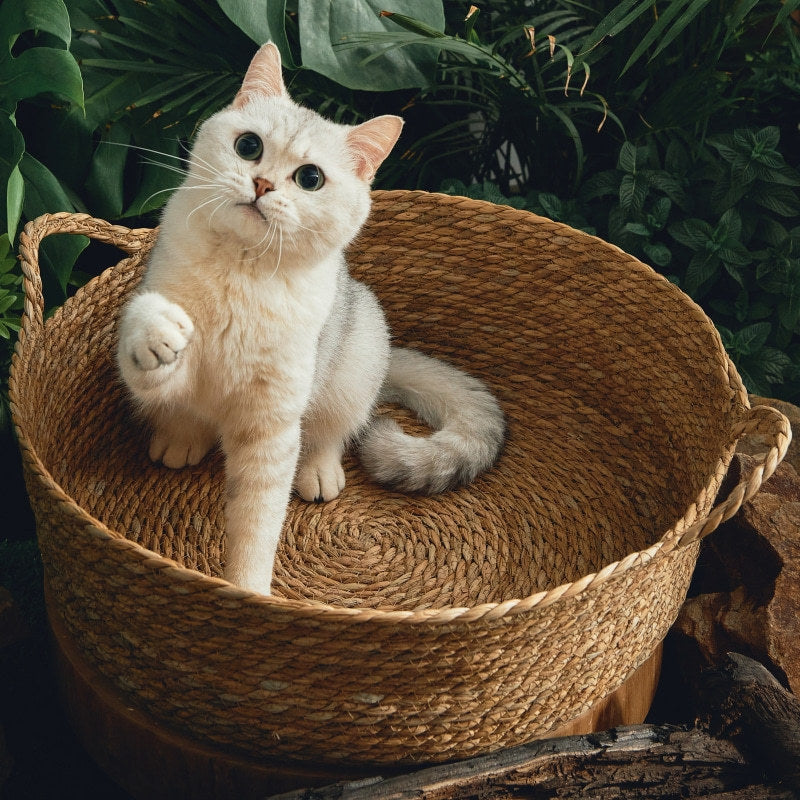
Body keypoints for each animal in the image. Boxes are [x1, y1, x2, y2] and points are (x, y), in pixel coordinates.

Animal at [115, 43, 504, 592]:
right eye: (249, 146)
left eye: (310, 179)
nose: (261, 183)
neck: (242, 272)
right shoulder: (165, 346)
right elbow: (151, 342)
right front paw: (160, 332)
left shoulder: (272, 423)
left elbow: (258, 523)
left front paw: (249, 591)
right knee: (185, 417)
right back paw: (179, 440)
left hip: (353, 362)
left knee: (330, 434)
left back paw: (319, 471)